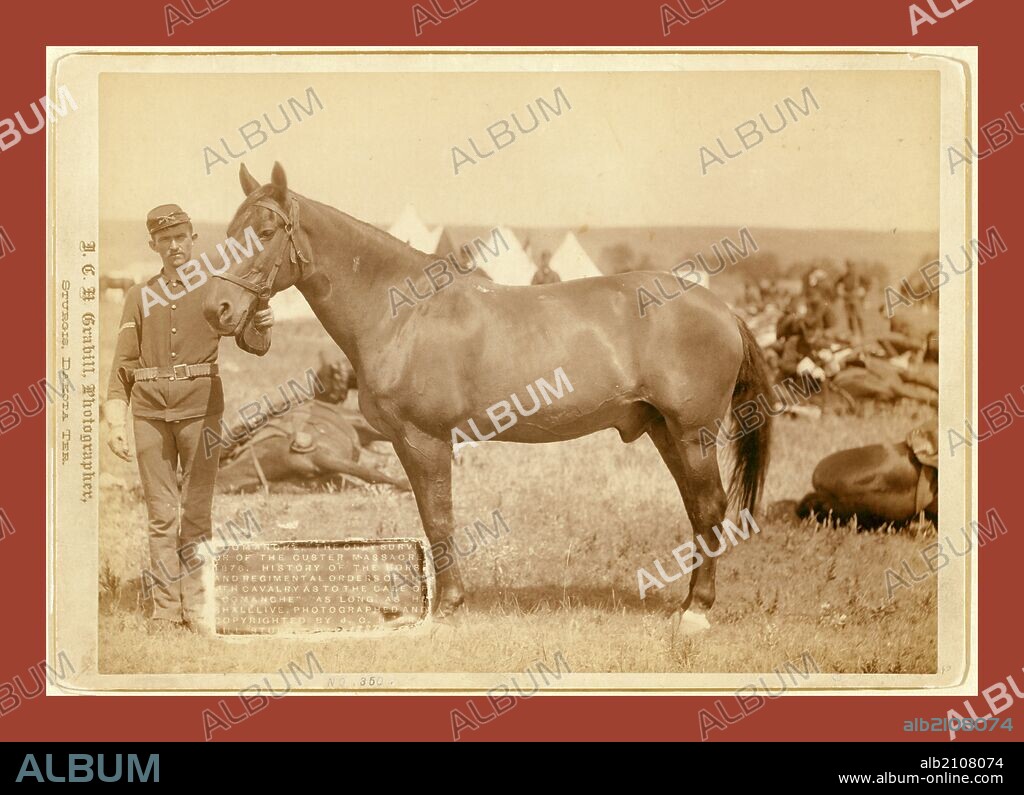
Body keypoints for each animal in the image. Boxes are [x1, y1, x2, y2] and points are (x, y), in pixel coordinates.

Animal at [203, 162, 774, 633]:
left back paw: (696, 612)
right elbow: (430, 515)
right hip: (665, 431)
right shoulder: (406, 444)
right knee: (697, 508)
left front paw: (448, 606)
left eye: (266, 232)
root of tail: (721, 309)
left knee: (709, 505)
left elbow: (439, 517)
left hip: (692, 432)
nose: (217, 309)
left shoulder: (425, 440)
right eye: (228, 233)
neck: (403, 313)